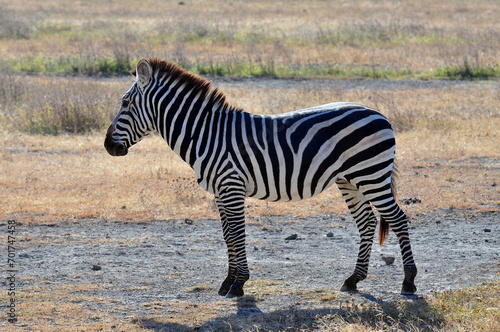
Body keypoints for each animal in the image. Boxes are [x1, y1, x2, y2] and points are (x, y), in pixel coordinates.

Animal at [105, 57, 418, 298]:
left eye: (125, 103)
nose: (108, 146)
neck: (206, 134)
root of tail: (379, 114)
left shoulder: (231, 186)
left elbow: (237, 233)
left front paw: (238, 284)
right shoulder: (220, 192)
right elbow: (227, 235)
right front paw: (228, 282)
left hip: (372, 175)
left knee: (398, 219)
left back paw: (409, 282)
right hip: (350, 181)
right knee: (367, 223)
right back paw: (353, 279)